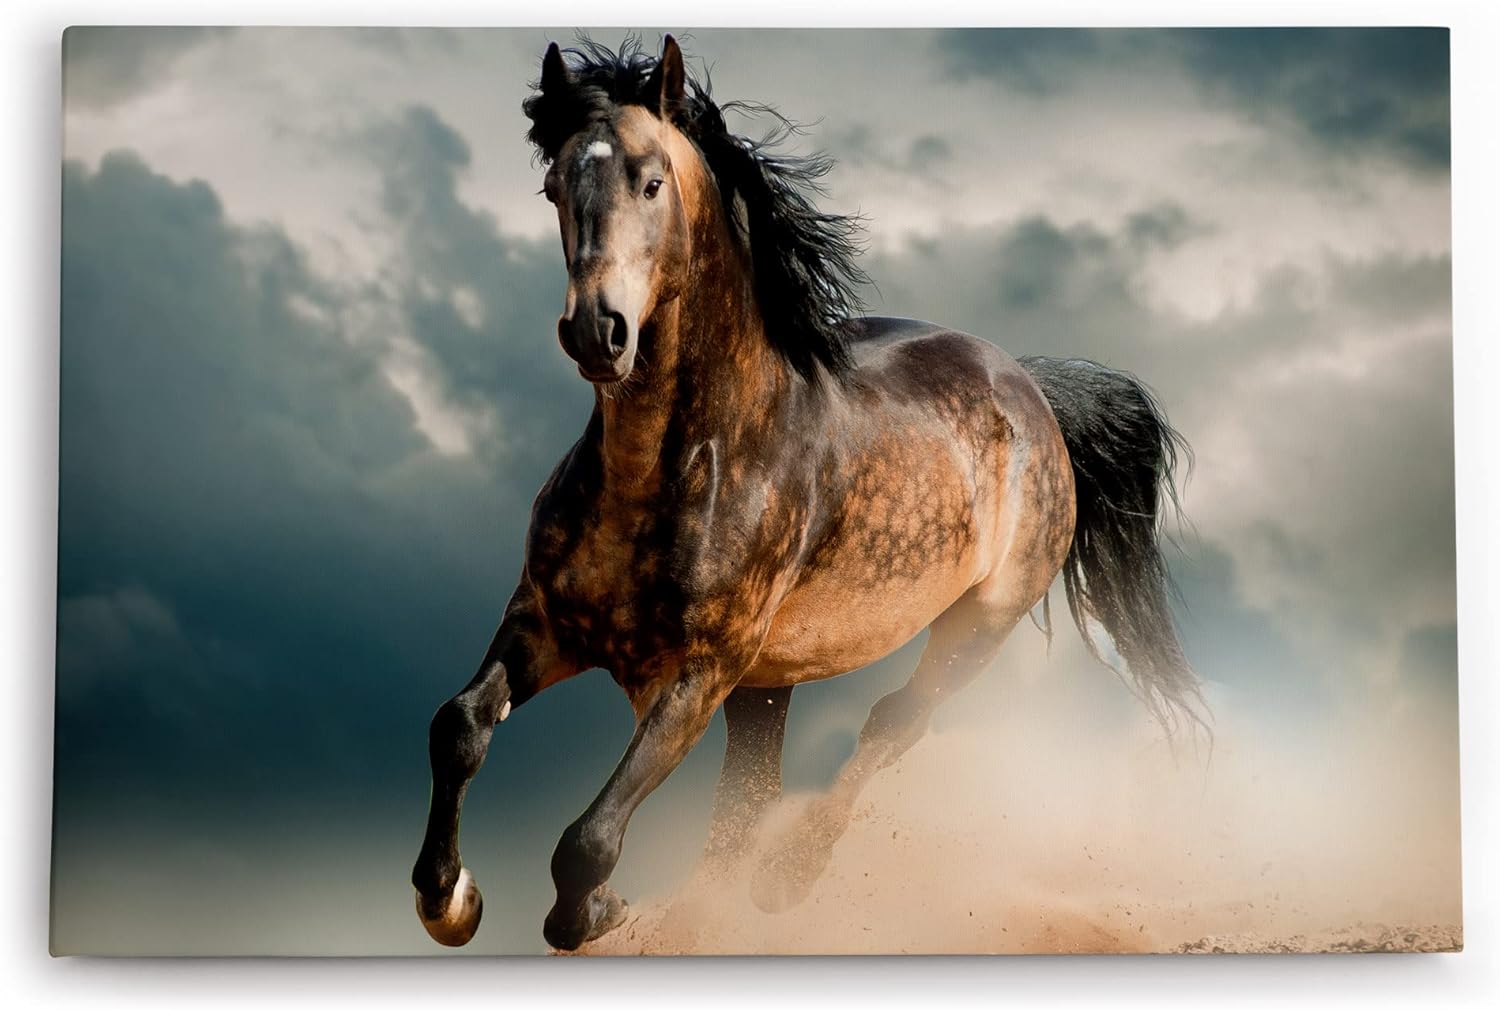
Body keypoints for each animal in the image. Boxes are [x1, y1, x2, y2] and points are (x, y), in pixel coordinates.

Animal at [411, 35, 1202, 952]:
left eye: (651, 181)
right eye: (553, 187)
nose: (597, 332)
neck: (671, 470)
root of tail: (1033, 389)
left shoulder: (700, 672)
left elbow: (589, 838)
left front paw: (595, 911)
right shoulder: (545, 623)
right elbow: (459, 725)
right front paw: (449, 899)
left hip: (976, 626)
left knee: (891, 725)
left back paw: (786, 881)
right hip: (770, 682)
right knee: (746, 801)